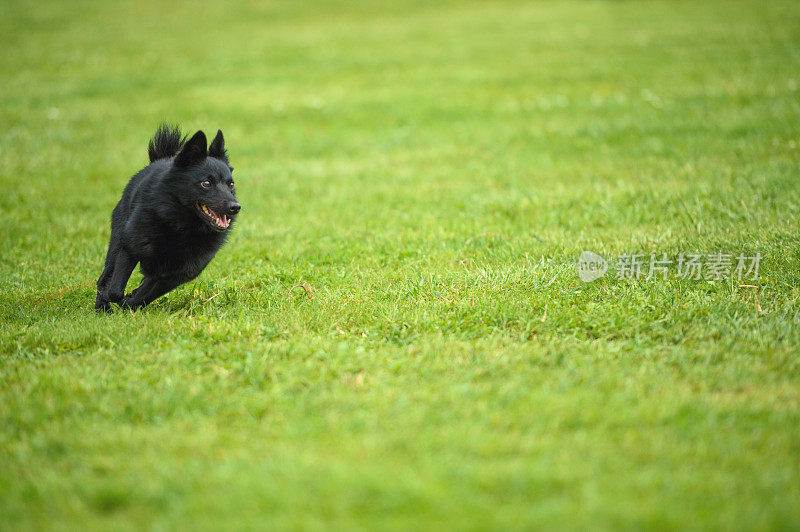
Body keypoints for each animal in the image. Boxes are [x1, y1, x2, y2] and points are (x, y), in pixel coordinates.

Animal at [95, 125, 239, 312]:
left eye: (231, 184)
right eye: (206, 183)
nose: (235, 207)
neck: (180, 226)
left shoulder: (179, 273)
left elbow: (146, 293)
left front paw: (130, 300)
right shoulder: (129, 247)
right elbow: (115, 290)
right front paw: (117, 298)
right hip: (116, 242)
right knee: (104, 278)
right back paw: (102, 307)